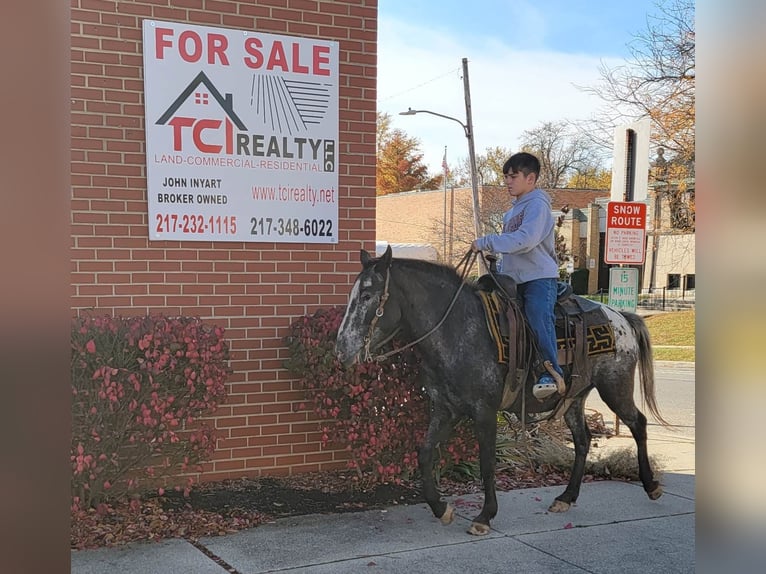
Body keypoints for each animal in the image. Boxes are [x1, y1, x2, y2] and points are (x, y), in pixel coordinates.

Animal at [338, 245, 672, 536]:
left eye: (367, 295)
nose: (342, 348)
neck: (457, 329)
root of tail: (620, 317)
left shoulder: (484, 411)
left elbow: (487, 463)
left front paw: (484, 516)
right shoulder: (445, 409)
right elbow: (424, 453)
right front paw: (441, 508)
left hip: (615, 387)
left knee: (638, 424)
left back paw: (651, 486)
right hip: (575, 397)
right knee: (582, 439)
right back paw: (566, 497)